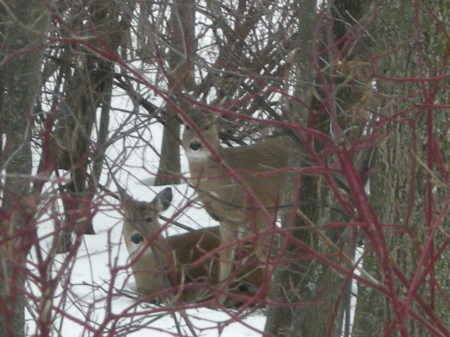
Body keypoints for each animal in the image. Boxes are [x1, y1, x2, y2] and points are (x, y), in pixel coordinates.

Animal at [181, 111, 290, 300]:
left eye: (207, 126)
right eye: (187, 126)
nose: (195, 145)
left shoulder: (263, 207)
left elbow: (264, 253)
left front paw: (270, 299)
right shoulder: (226, 219)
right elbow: (225, 259)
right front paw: (217, 301)